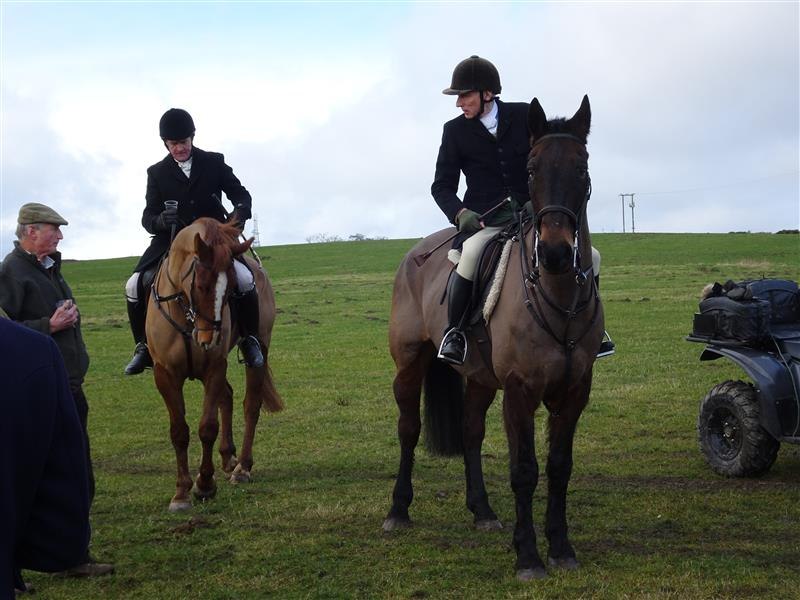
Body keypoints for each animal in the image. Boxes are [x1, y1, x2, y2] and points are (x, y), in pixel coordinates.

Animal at [145, 217, 283, 512]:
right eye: (201, 286)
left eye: (232, 289)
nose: (210, 338)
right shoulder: (165, 374)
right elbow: (179, 431)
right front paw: (181, 492)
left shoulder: (215, 368)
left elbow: (207, 427)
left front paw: (205, 485)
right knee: (227, 396)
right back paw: (228, 457)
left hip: (259, 350)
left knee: (250, 405)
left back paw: (242, 467)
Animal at [383, 96, 604, 580]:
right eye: (531, 169)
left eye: (582, 168)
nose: (555, 253)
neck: (557, 294)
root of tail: (416, 252)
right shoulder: (520, 391)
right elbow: (524, 470)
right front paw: (529, 556)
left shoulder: (575, 391)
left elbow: (559, 467)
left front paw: (562, 548)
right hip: (411, 364)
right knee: (408, 430)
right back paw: (397, 510)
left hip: (480, 378)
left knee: (470, 431)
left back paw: (481, 510)